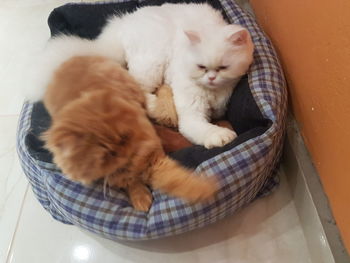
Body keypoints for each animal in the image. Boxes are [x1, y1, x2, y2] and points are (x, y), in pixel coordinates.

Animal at [26, 3, 253, 150]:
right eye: (201, 67)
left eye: (223, 67)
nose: (211, 78)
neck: (213, 92)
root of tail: (122, 23)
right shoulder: (191, 111)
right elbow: (201, 128)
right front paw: (221, 136)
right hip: (152, 64)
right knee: (136, 91)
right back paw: (156, 107)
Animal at [41, 56, 216, 212]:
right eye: (106, 156)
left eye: (124, 138)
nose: (125, 153)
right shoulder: (122, 175)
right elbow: (134, 184)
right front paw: (142, 200)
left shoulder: (154, 158)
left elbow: (177, 179)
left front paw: (206, 188)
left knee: (162, 92)